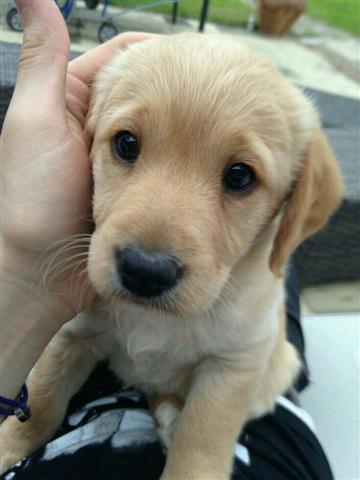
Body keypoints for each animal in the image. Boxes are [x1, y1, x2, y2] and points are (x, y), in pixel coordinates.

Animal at [0, 34, 344, 480]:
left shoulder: (232, 368)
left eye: (240, 176)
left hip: (277, 366)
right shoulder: (72, 332)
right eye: (127, 143)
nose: (145, 272)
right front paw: (9, 445)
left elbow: (200, 443)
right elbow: (42, 397)